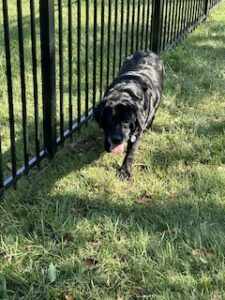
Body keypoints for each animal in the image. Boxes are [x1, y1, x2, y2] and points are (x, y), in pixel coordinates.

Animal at [94, 50, 164, 179]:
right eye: (109, 120)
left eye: (127, 120)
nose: (116, 139)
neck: (125, 91)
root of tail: (148, 51)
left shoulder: (137, 132)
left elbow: (131, 152)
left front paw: (124, 170)